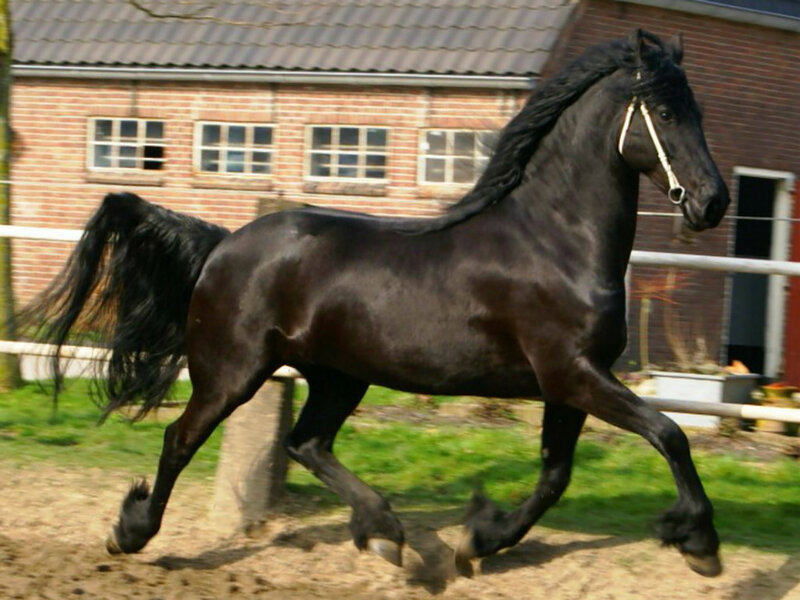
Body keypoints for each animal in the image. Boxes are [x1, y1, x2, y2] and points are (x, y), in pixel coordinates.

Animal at [25, 29, 729, 577]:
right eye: (665, 113)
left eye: (699, 110)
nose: (712, 202)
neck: (555, 242)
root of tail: (224, 243)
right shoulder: (573, 374)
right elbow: (669, 434)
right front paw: (699, 543)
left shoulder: (568, 383)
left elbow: (556, 477)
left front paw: (481, 541)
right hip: (232, 371)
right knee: (182, 438)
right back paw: (131, 532)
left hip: (339, 375)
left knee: (306, 443)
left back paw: (386, 532)